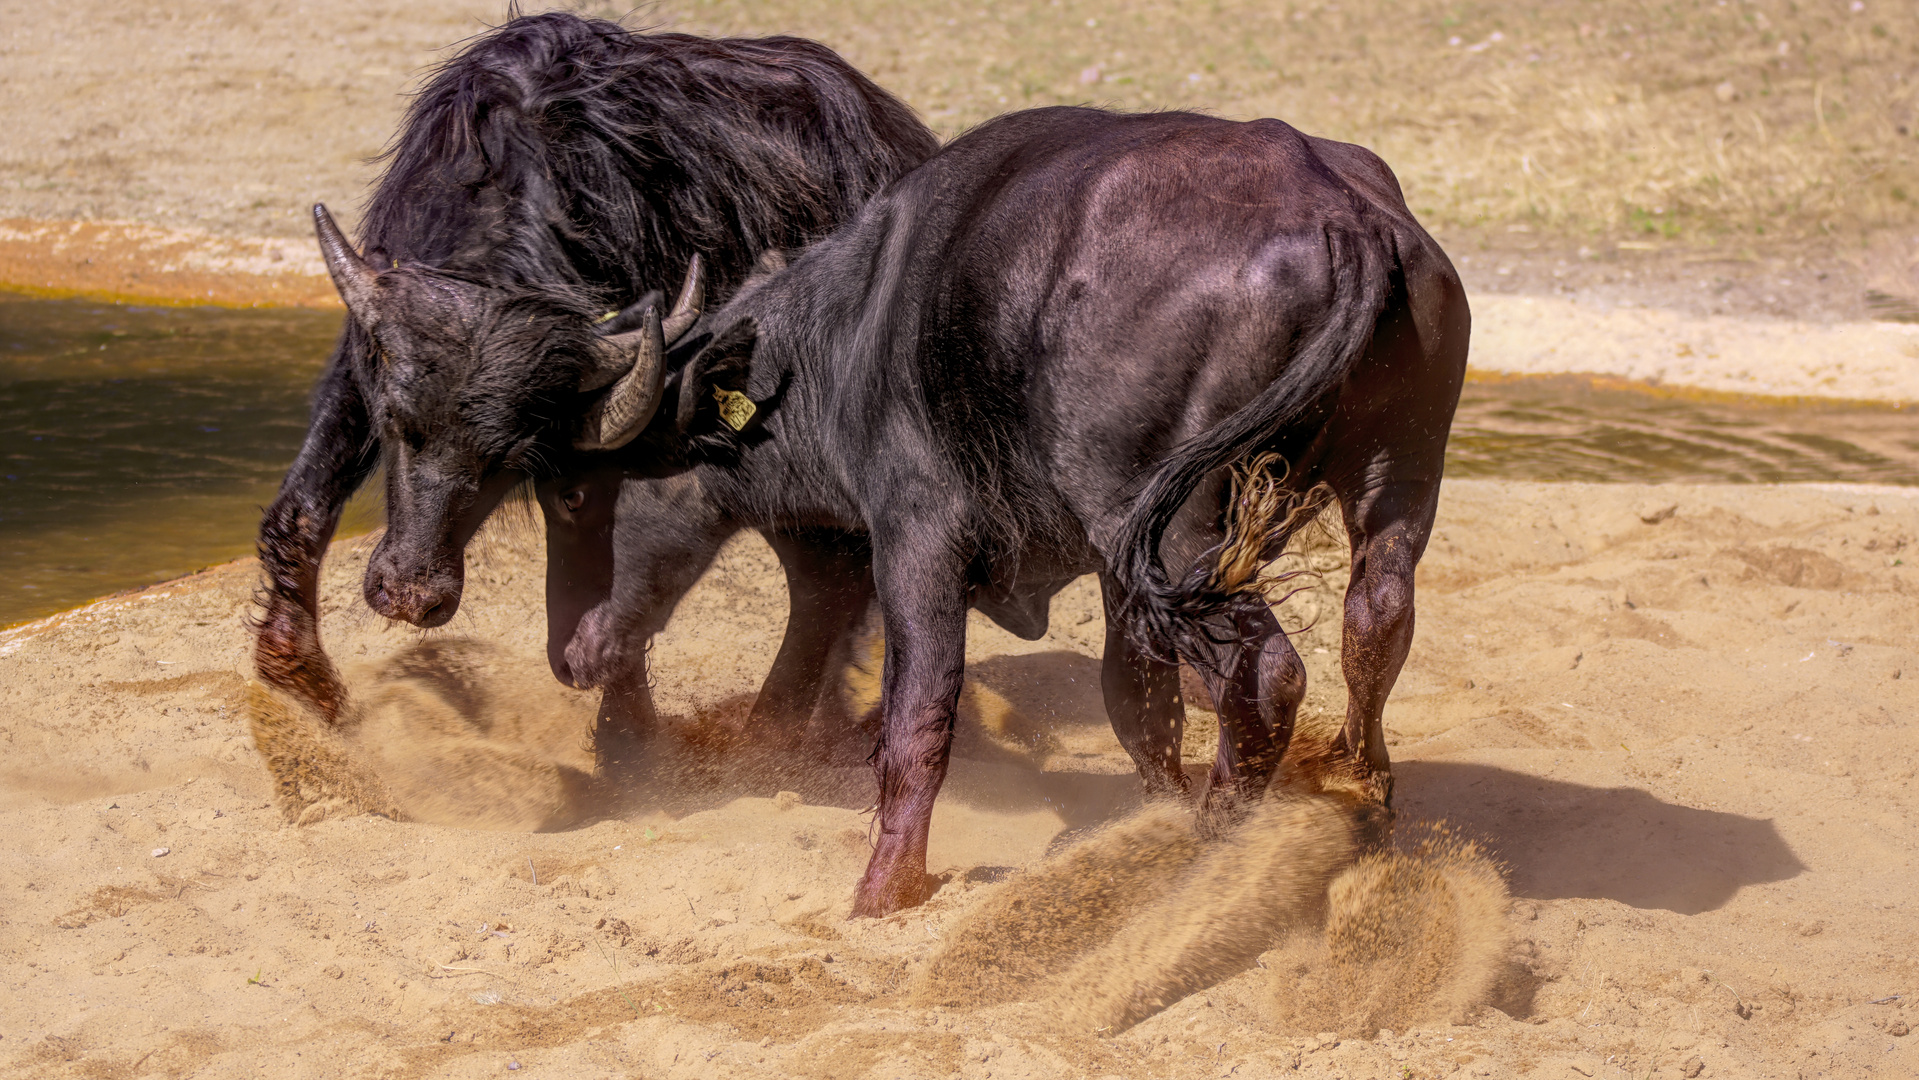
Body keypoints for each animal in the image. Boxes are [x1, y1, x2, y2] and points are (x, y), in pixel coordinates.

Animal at [255, 12, 936, 751]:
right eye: (399, 426)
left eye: (507, 458)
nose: (411, 595)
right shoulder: (365, 363)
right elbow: (304, 504)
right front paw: (297, 675)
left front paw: (628, 738)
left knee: (829, 576)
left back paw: (772, 733)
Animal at [541, 105, 1466, 916]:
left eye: (573, 492)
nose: (568, 654)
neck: (852, 333)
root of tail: (1344, 217)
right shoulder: (1115, 574)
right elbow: (1136, 702)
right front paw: (1148, 817)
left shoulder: (917, 541)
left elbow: (918, 715)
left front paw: (885, 888)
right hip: (1394, 483)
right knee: (1374, 622)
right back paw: (1360, 791)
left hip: (1184, 534)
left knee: (1266, 672)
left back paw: (1219, 850)